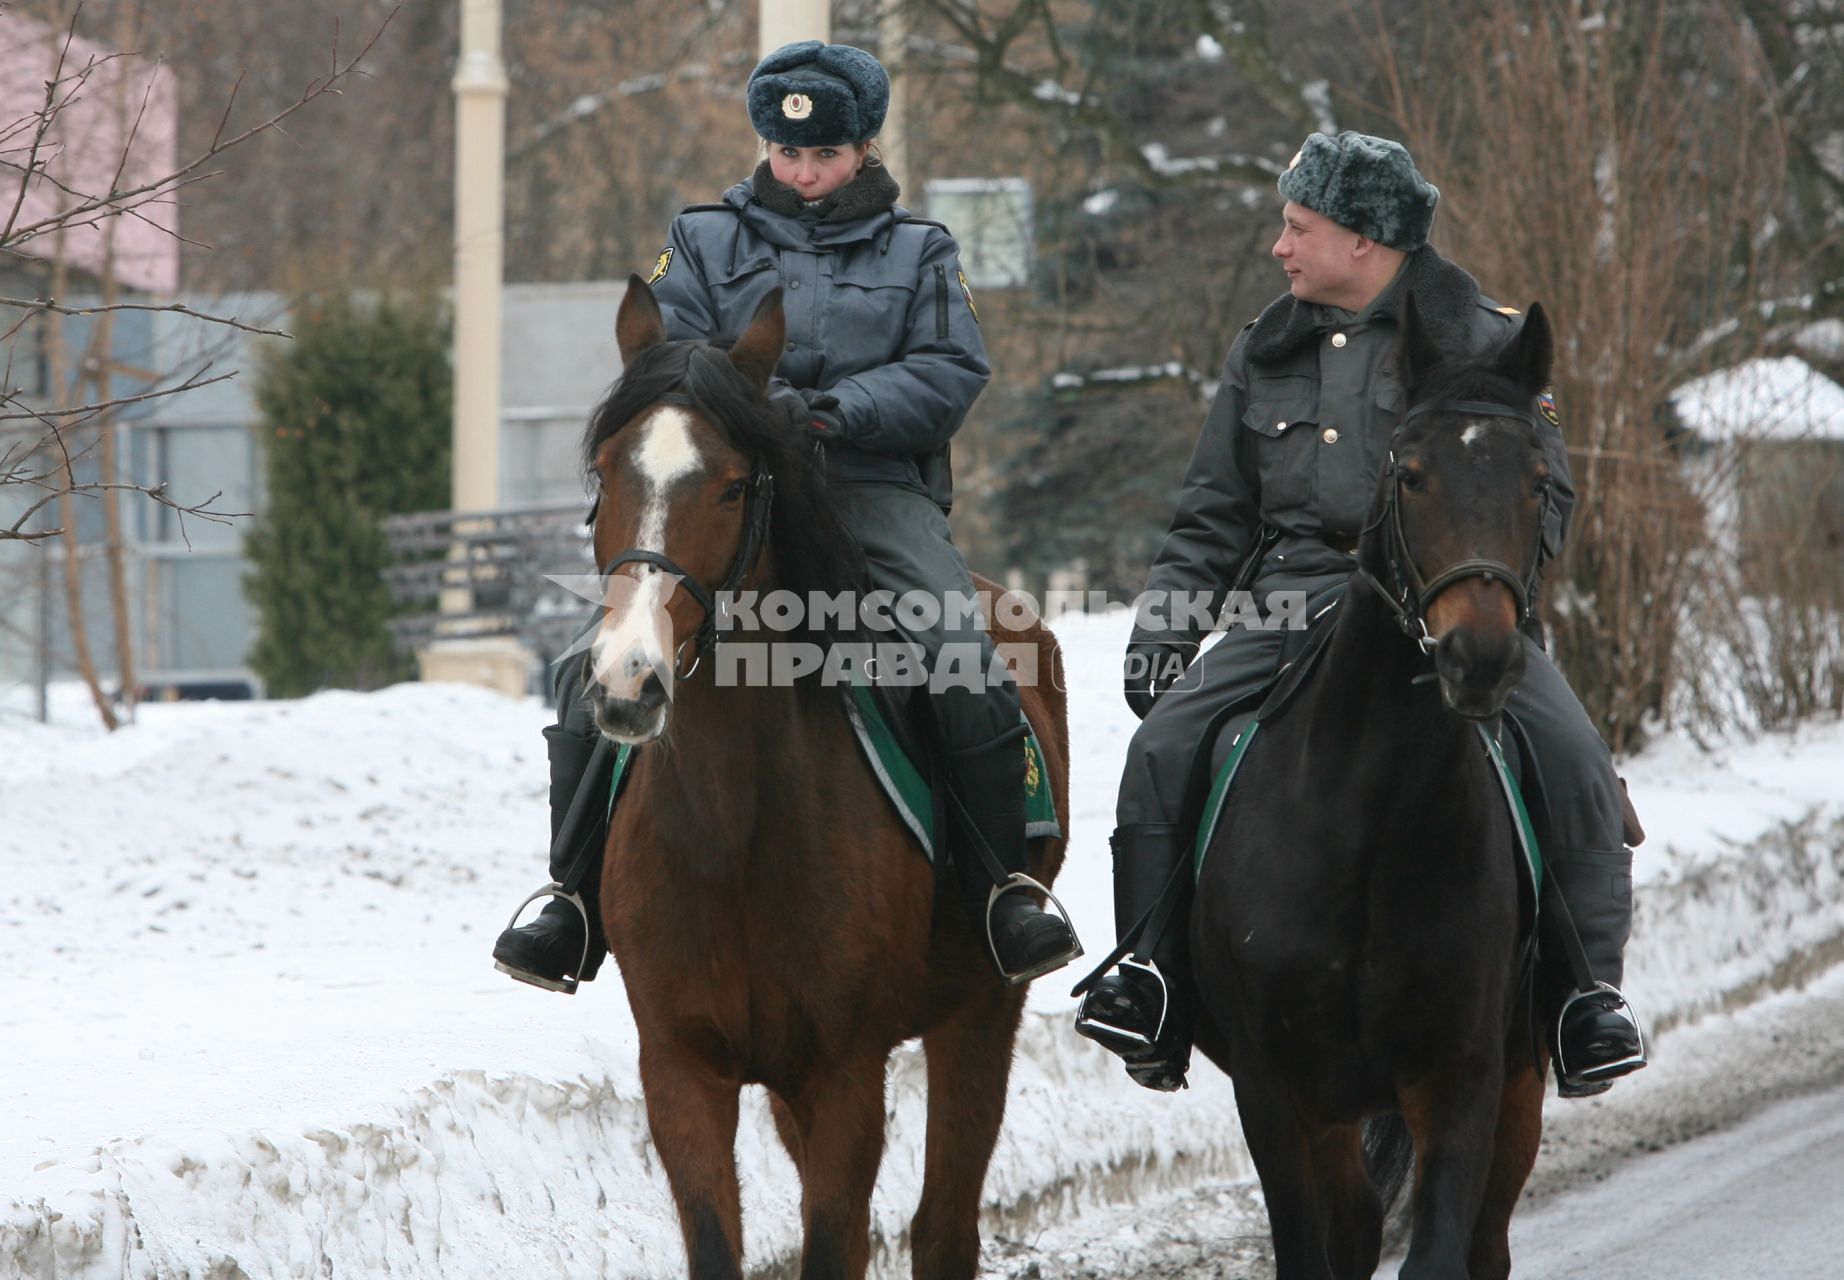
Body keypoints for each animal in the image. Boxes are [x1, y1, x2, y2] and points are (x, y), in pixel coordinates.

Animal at [575, 276, 1069, 1276]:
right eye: (607, 475)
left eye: (732, 484)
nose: (628, 682)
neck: (733, 828)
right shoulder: (683, 1071)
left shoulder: (846, 1073)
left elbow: (839, 1240)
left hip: (982, 1015)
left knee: (944, 1225)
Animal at [1194, 302, 1571, 1280]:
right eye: (1410, 474)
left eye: (1538, 480)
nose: (1480, 658)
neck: (1368, 816)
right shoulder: (1276, 1092)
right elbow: (1310, 1248)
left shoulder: (1460, 1076)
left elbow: (1436, 1251)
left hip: (1515, 1088)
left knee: (1480, 1244)